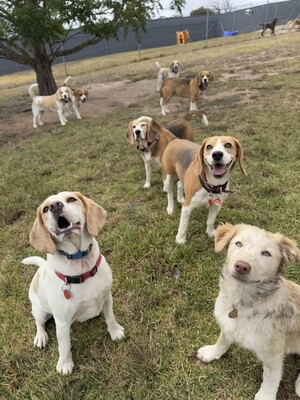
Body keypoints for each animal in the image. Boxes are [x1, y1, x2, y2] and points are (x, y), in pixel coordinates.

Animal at [21, 191, 123, 376]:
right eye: (45, 209)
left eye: (71, 199)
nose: (54, 206)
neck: (80, 263)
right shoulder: (61, 322)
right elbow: (64, 346)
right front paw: (65, 365)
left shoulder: (107, 297)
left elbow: (111, 318)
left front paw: (115, 332)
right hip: (40, 311)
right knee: (39, 323)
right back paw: (41, 337)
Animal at [197, 223, 300, 400]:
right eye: (238, 243)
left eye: (266, 253)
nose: (242, 266)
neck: (243, 302)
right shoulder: (227, 324)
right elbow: (222, 341)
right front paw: (212, 353)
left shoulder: (273, 354)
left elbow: (271, 378)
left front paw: (265, 396)